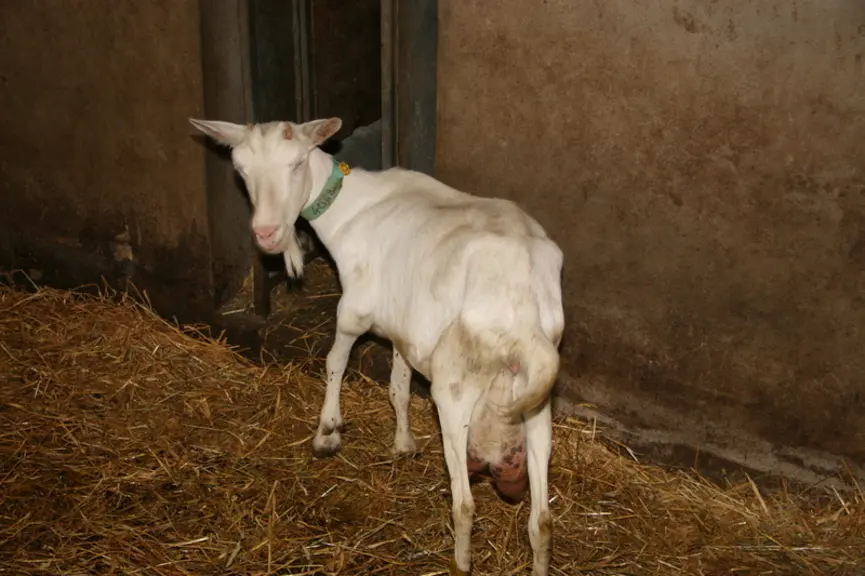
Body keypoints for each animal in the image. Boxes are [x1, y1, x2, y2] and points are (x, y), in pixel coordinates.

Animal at [189, 117, 565, 576]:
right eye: (241, 170)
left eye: (296, 164)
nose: (266, 233)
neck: (354, 207)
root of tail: (523, 312)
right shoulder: (404, 326)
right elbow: (398, 385)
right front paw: (403, 443)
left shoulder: (354, 309)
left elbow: (335, 360)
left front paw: (327, 432)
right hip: (536, 403)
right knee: (542, 520)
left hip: (454, 392)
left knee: (464, 506)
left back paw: (459, 561)